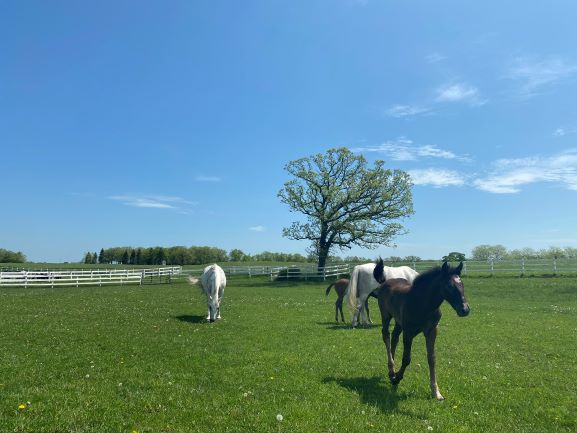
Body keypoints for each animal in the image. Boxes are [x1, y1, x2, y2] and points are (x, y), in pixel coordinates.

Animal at [374, 260, 468, 398]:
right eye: (449, 286)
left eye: (462, 284)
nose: (465, 309)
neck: (423, 304)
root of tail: (385, 281)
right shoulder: (408, 332)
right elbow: (406, 358)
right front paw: (397, 378)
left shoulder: (432, 331)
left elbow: (432, 359)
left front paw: (436, 392)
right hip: (386, 315)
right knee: (386, 335)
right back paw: (392, 370)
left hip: (398, 322)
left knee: (394, 338)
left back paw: (391, 371)